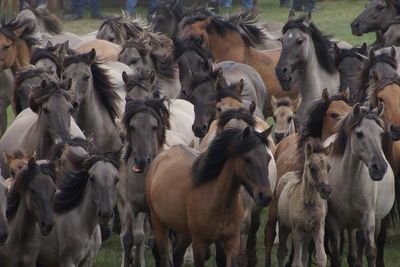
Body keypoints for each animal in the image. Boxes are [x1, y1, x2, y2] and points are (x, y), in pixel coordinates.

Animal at [145, 126, 274, 266]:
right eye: (247, 159)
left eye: (268, 158)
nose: (265, 196)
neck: (217, 200)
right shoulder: (199, 243)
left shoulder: (232, 241)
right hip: (159, 225)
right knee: (165, 258)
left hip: (184, 233)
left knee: (177, 255)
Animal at [276, 139, 332, 267]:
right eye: (312, 167)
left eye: (329, 167)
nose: (326, 190)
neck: (309, 203)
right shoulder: (297, 231)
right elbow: (297, 262)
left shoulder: (318, 228)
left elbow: (321, 257)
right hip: (283, 226)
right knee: (281, 252)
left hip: (307, 235)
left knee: (305, 255)